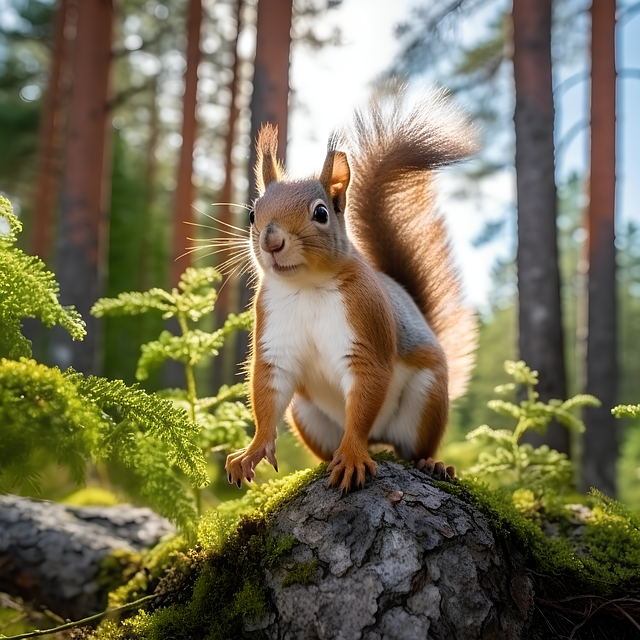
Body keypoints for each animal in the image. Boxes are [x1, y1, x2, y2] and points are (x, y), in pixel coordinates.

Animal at [225, 89, 479, 493]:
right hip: (306, 414)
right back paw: (328, 459)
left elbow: (364, 395)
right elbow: (267, 393)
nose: (271, 241)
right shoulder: (274, 337)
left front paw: (354, 458)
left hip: (426, 398)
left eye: (321, 213)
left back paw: (431, 463)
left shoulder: (366, 324)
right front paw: (251, 452)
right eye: (252, 214)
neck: (307, 287)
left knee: (412, 447)